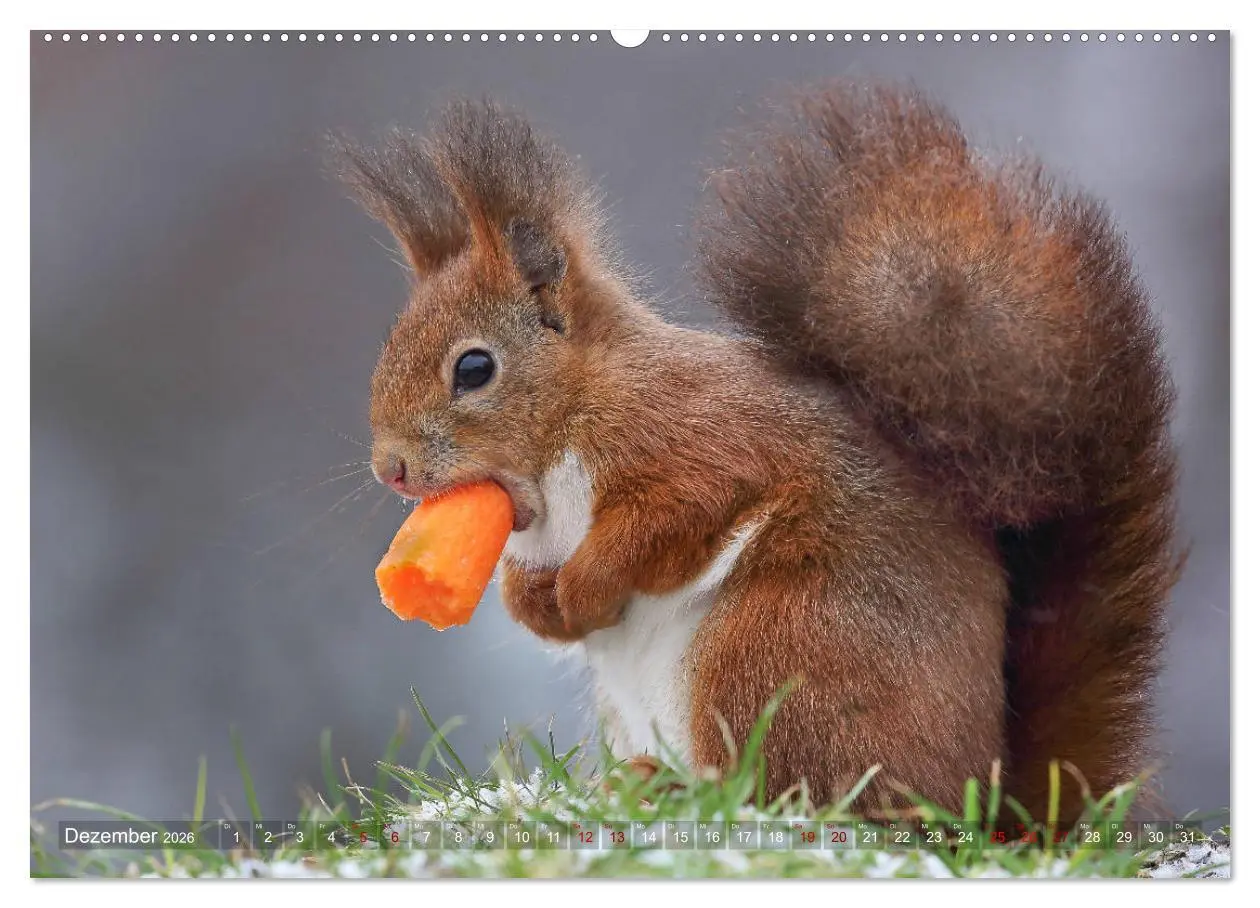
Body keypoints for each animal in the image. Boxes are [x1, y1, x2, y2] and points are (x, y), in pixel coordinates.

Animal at [336, 81, 1180, 820]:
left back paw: (678, 788)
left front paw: (583, 587)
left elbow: (665, 521)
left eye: (475, 368)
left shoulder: (701, 443)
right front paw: (536, 604)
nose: (391, 468)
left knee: (795, 791)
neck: (562, 444)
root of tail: (985, 793)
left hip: (778, 649)